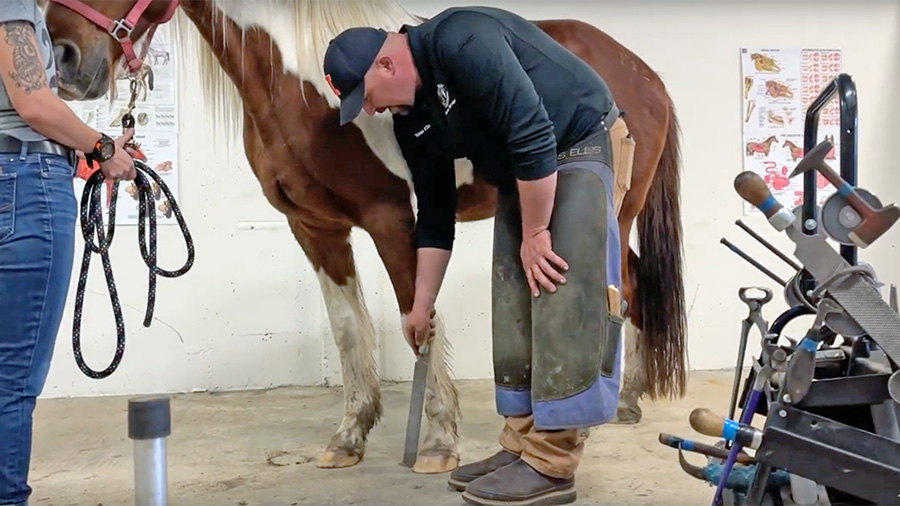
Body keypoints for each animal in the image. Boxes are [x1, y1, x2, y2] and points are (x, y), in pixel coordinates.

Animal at [44, 0, 688, 474]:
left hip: (609, 209)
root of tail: (647, 76)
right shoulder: (315, 227)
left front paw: (439, 441)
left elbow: (419, 321)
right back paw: (624, 402)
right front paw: (349, 435)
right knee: (632, 286)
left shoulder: (393, 219)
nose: (65, 58)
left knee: (617, 292)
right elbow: (349, 328)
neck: (304, 86)